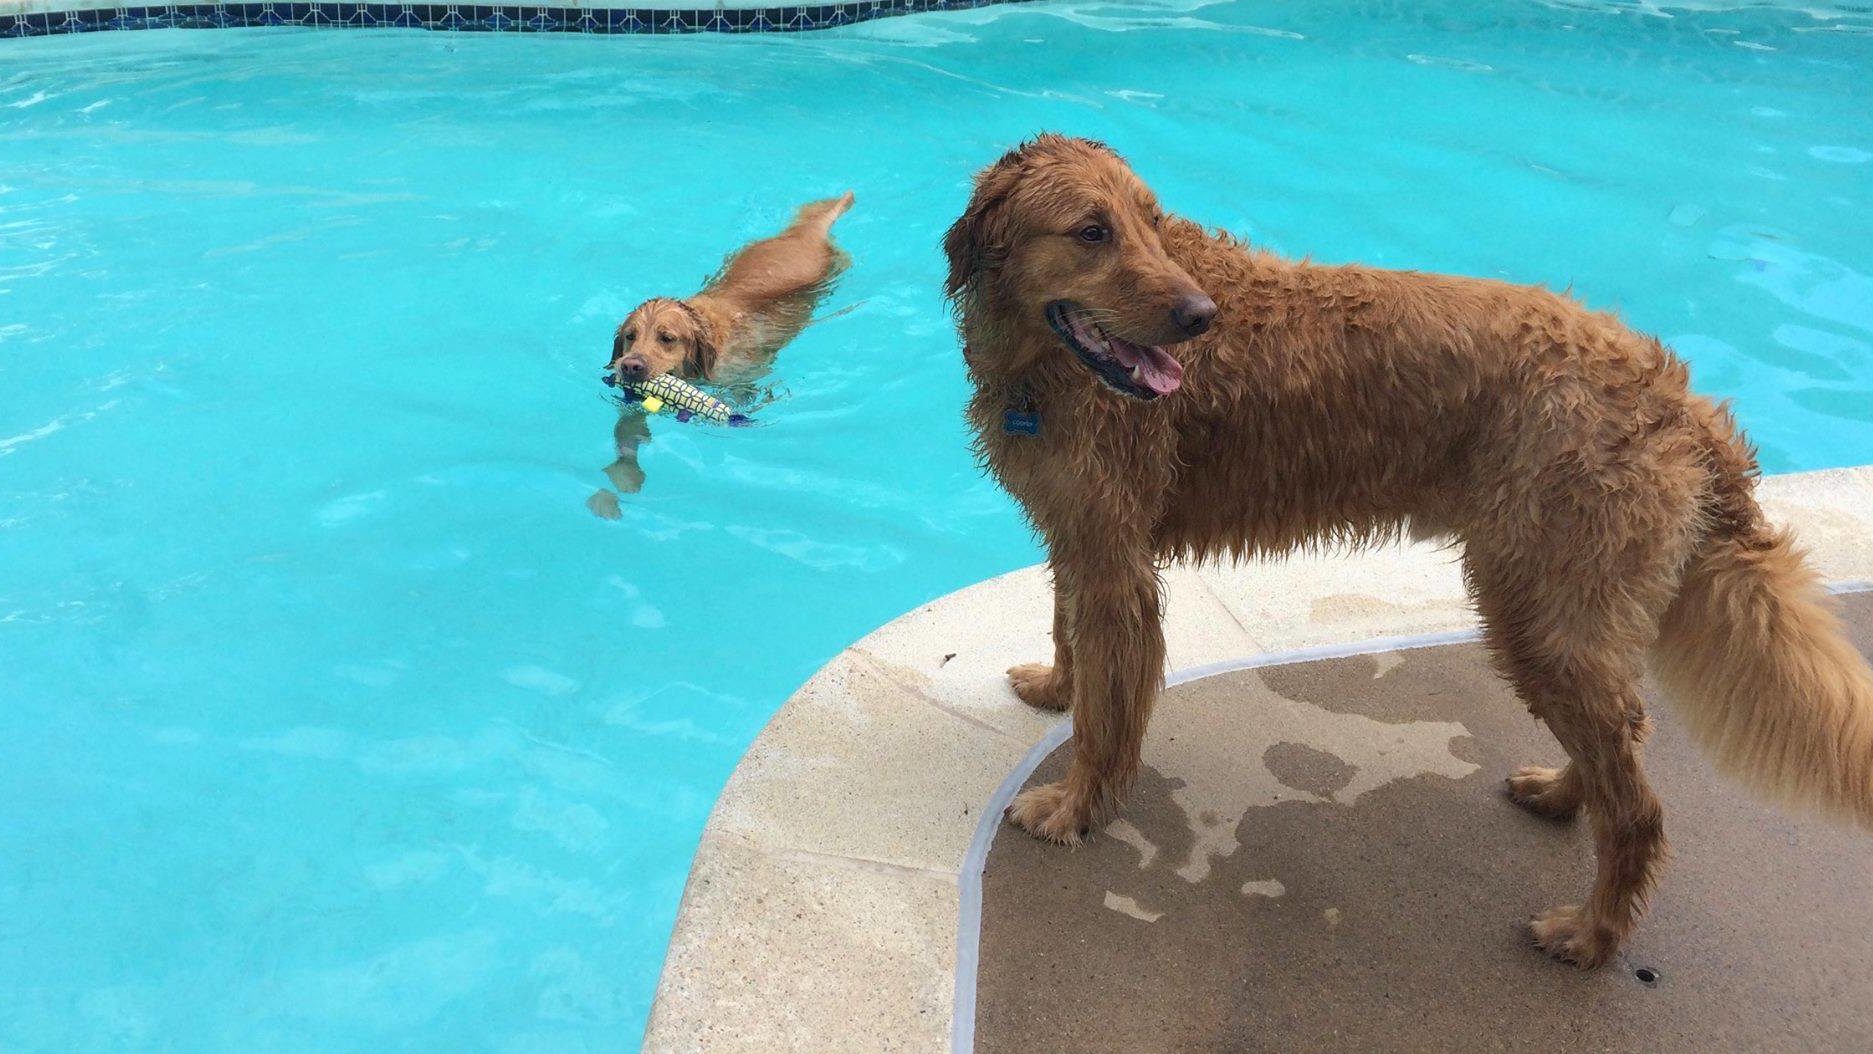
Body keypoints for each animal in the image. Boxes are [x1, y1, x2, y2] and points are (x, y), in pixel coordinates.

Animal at [944, 134, 1873, 968]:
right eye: (1090, 231)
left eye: (1149, 221)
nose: (1199, 318)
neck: (1041, 360)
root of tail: (1681, 401)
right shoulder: (1079, 533)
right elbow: (1068, 634)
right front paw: (1056, 687)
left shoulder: (1115, 562)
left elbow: (1108, 715)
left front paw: (1075, 806)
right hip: (1568, 609)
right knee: (1624, 732)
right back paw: (1561, 793)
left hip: (1535, 609)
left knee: (1637, 806)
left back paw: (1590, 934)